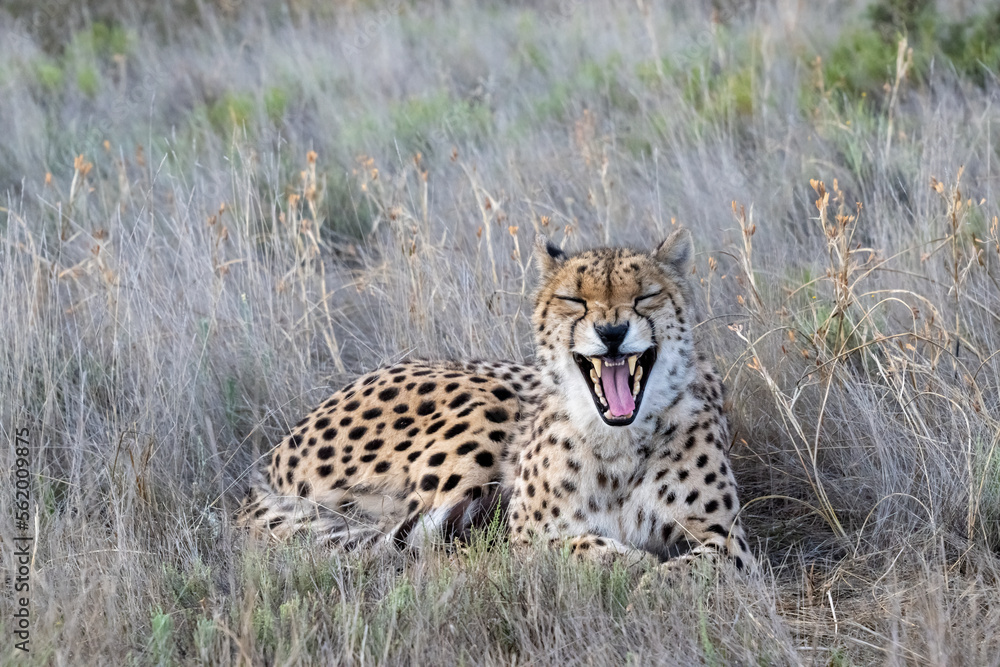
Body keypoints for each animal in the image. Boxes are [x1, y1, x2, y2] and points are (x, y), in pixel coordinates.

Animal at [237, 228, 753, 573]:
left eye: (646, 296)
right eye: (574, 300)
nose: (612, 332)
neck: (618, 440)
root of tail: (267, 468)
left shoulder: (729, 541)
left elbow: (695, 568)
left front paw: (652, 576)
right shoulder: (528, 535)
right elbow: (576, 547)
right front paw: (634, 565)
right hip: (487, 404)